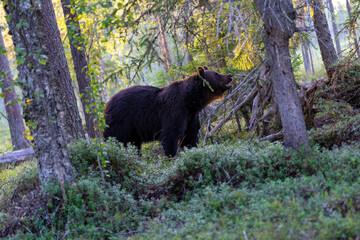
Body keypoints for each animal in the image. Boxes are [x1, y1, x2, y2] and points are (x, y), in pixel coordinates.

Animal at [104, 65, 233, 157]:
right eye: (217, 75)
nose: (230, 74)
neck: (190, 101)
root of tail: (107, 103)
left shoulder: (191, 116)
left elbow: (190, 137)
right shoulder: (174, 111)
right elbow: (170, 135)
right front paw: (173, 157)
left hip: (133, 131)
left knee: (134, 145)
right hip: (121, 121)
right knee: (117, 139)